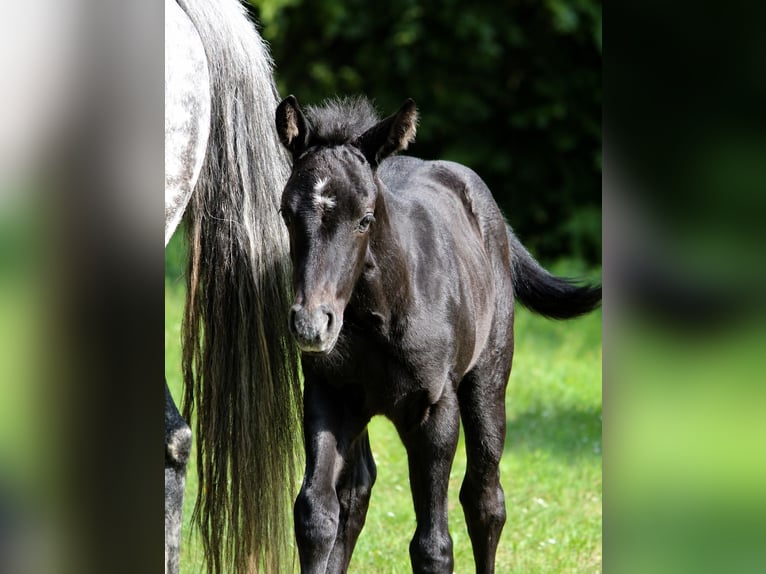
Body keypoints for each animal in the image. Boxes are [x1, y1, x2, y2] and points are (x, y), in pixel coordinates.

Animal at [274, 95, 601, 574]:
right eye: (286, 213)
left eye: (365, 219)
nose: (311, 325)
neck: (379, 319)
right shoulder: (328, 395)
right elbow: (316, 515)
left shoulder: (435, 411)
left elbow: (433, 545)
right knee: (357, 490)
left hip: (488, 383)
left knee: (485, 498)